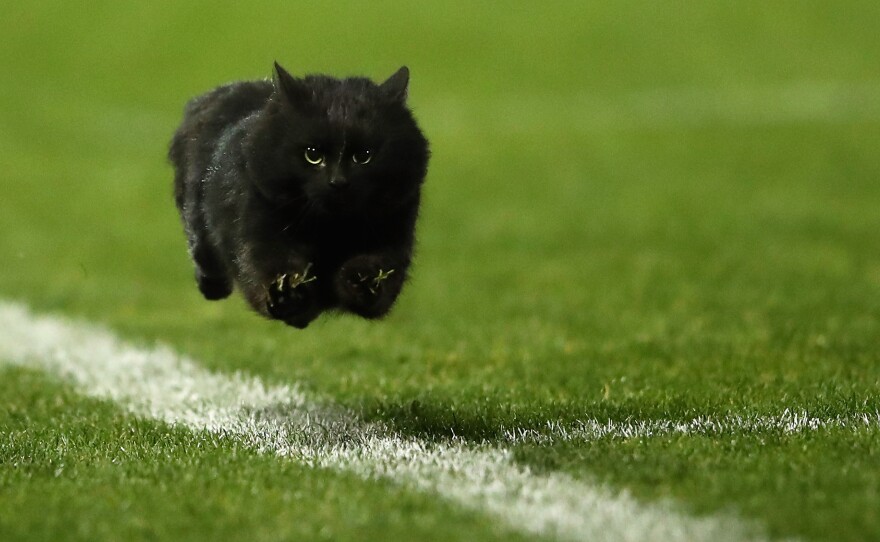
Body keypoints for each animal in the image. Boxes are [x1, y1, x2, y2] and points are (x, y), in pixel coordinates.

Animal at [168, 61, 430, 330]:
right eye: (312, 154)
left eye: (364, 156)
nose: (338, 182)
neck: (331, 230)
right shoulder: (260, 236)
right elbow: (272, 267)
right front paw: (287, 293)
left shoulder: (395, 236)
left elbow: (377, 269)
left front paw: (364, 282)